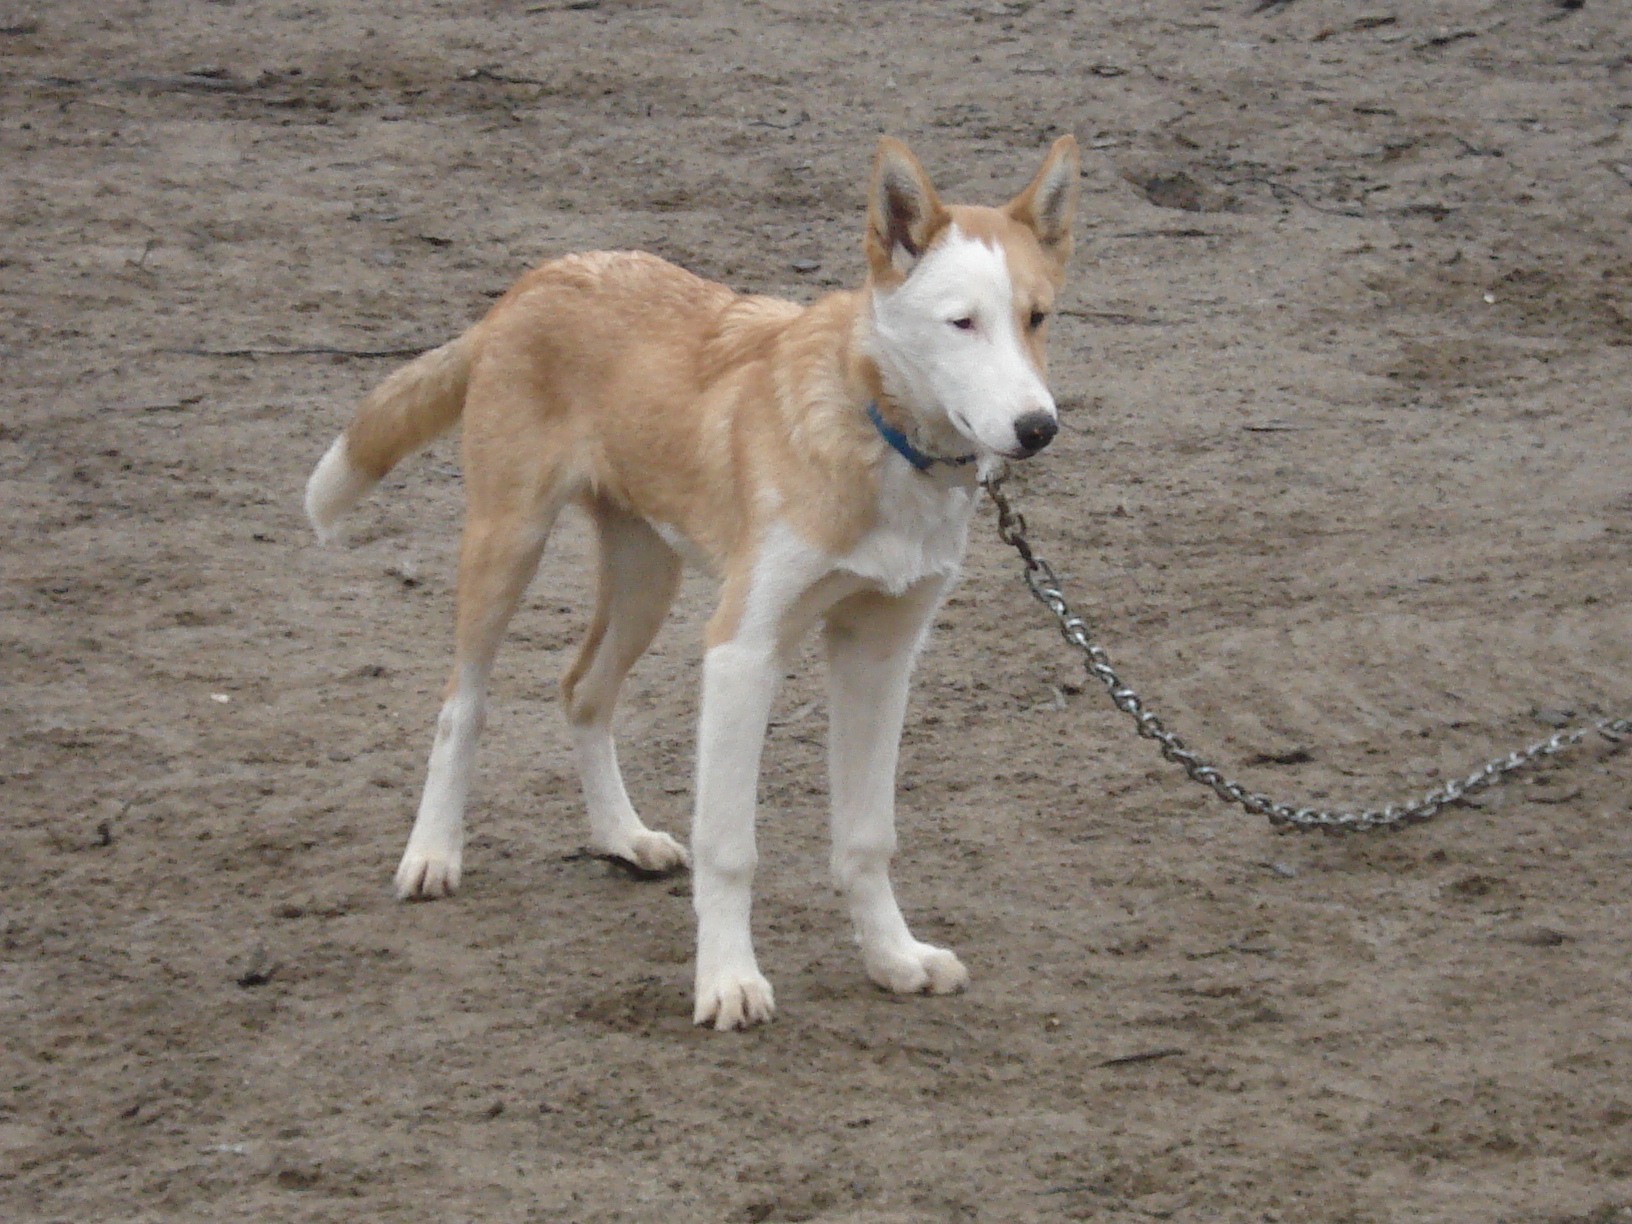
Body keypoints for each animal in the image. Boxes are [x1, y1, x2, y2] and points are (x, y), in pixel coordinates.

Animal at [306, 138, 1083, 1031]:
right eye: (962, 322)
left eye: (1037, 317)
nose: (1037, 428)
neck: (876, 430)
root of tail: (535, 282)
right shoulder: (743, 650)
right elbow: (730, 847)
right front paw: (728, 980)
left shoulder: (880, 652)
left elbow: (867, 835)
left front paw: (893, 957)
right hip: (507, 545)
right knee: (461, 705)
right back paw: (433, 852)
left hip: (649, 576)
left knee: (582, 691)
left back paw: (622, 836)